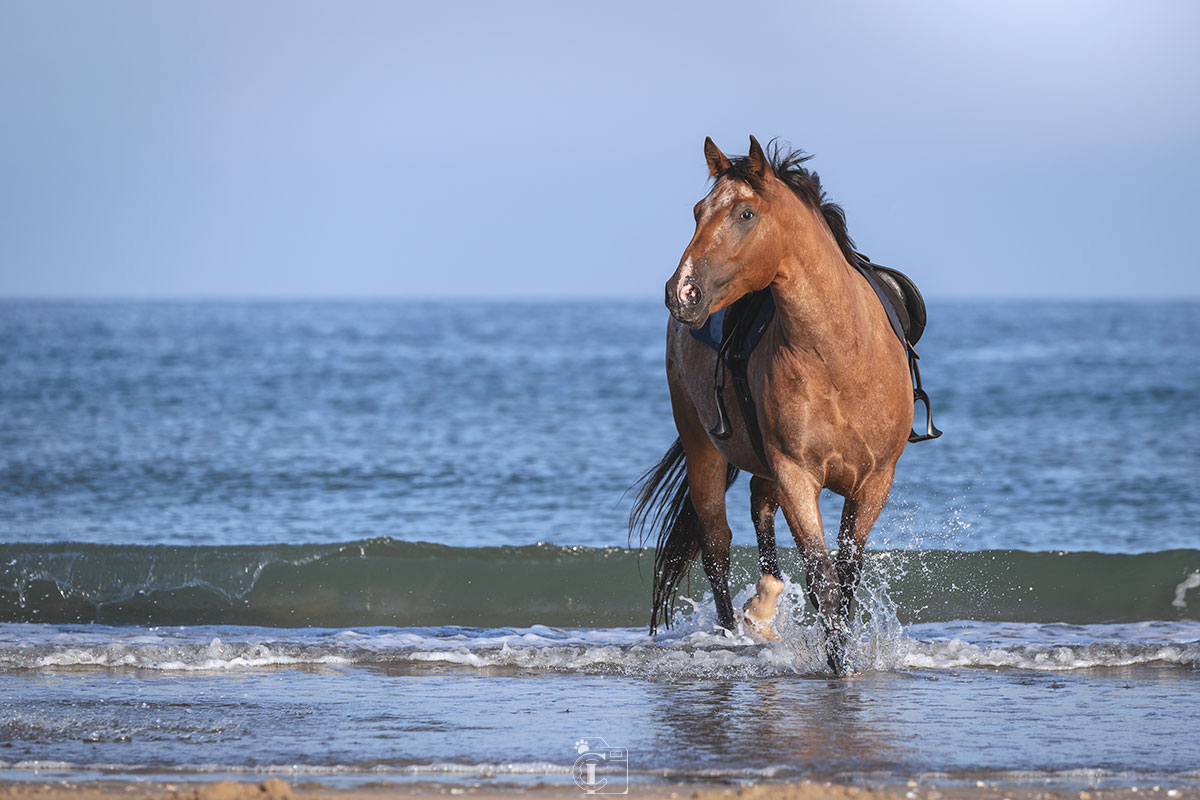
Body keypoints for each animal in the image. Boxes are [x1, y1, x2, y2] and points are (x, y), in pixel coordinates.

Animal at [633, 137, 912, 676]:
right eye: (698, 211)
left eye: (745, 213)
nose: (682, 292)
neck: (839, 355)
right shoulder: (797, 475)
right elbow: (823, 578)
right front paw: (836, 666)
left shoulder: (874, 482)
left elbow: (846, 577)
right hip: (704, 450)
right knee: (716, 545)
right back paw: (735, 630)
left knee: (759, 510)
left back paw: (763, 608)